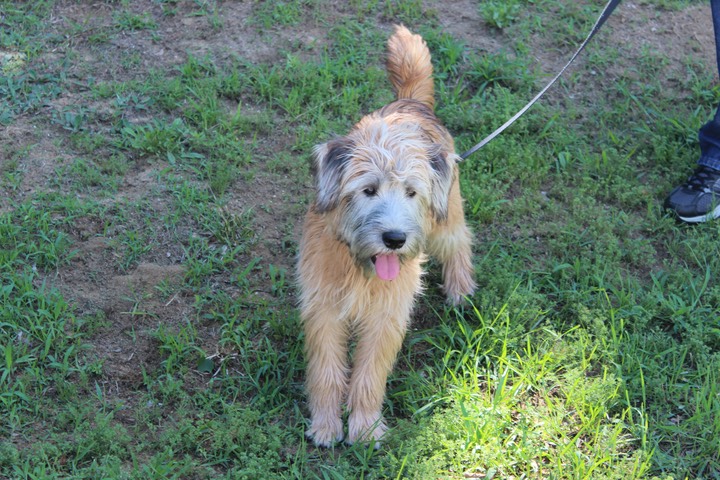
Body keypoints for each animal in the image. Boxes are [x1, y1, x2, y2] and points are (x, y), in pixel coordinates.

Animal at [296, 25, 476, 446]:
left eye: (411, 192)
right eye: (368, 190)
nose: (394, 238)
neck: (359, 268)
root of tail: (410, 103)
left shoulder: (386, 317)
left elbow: (369, 374)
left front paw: (364, 427)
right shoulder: (323, 309)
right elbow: (326, 371)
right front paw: (326, 424)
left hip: (445, 218)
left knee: (460, 240)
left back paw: (460, 289)